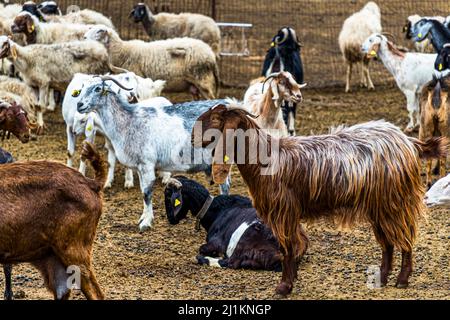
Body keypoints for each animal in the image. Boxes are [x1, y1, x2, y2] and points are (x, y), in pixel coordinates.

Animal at [75, 77, 230, 232]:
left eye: (97, 88)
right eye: (82, 88)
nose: (79, 104)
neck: (128, 121)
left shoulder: (147, 164)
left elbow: (147, 193)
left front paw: (146, 223)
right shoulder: (139, 167)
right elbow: (143, 191)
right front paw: (143, 217)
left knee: (225, 186)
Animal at [85, 25, 220, 99]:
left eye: (99, 31)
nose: (84, 37)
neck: (121, 50)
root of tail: (210, 54)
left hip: (203, 80)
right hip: (194, 86)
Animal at [164, 176, 310, 272]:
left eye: (168, 195)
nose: (171, 219)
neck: (216, 209)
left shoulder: (216, 242)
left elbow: (203, 248)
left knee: (229, 262)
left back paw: (201, 258)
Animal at [192, 102, 448, 296]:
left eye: (215, 119)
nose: (193, 138)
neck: (266, 159)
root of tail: (409, 142)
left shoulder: (284, 211)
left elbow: (287, 248)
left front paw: (284, 287)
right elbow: (291, 248)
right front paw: (291, 279)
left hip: (395, 201)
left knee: (405, 239)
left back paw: (402, 280)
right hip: (378, 205)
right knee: (387, 243)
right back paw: (383, 278)